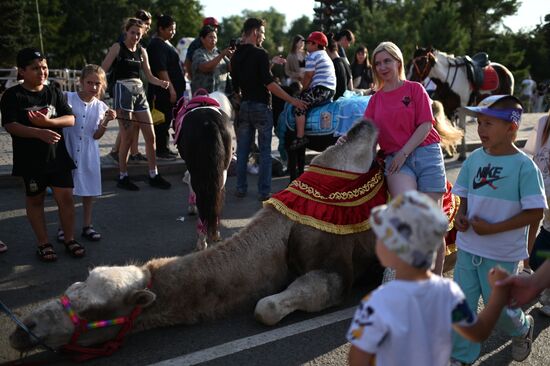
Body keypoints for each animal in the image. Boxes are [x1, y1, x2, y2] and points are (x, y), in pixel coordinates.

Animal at [10, 118, 386, 354]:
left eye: (91, 310)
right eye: (71, 289)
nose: (22, 328)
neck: (282, 229)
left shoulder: (338, 265)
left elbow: (265, 307)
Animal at [175, 91, 235, 252]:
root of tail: (209, 123)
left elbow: (188, 182)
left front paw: (191, 207)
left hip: (198, 173)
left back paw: (201, 241)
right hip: (221, 173)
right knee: (216, 198)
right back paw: (215, 233)